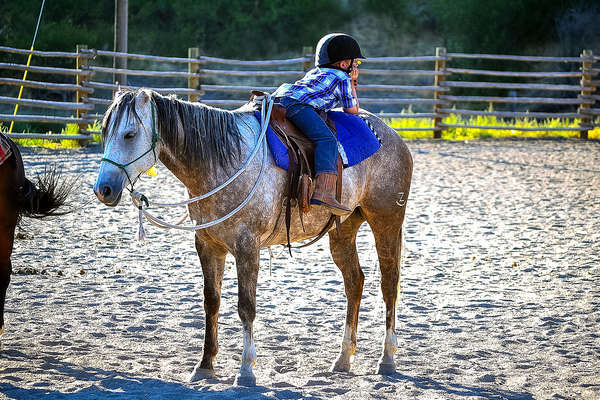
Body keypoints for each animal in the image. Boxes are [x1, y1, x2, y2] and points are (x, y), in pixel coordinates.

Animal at [94, 89, 412, 386]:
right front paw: (204, 365)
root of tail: (393, 136)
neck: (223, 163)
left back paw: (387, 359)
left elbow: (246, 307)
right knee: (354, 282)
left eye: (130, 134)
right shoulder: (208, 246)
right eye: (105, 132)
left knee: (389, 285)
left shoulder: (247, 248)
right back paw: (344, 358)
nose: (103, 189)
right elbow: (211, 302)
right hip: (342, 231)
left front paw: (246, 370)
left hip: (386, 222)